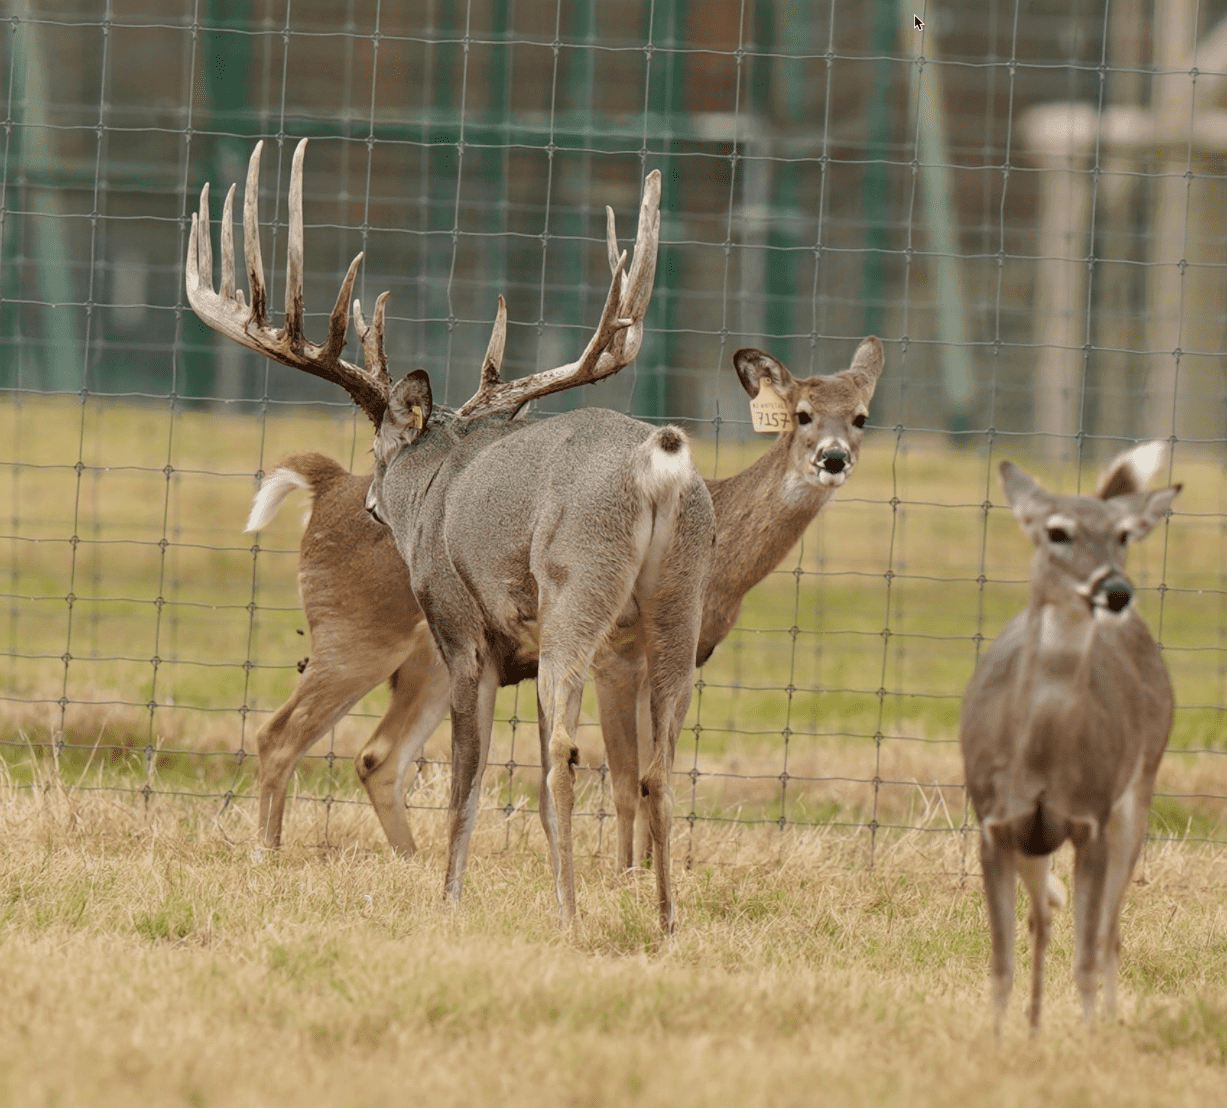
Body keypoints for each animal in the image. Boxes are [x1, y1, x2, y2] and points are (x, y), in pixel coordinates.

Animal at [186, 137, 716, 931]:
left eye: (379, 449)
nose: (373, 504)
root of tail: (660, 464)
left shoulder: (463, 629)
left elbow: (470, 775)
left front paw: (450, 897)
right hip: (681, 598)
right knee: (658, 762)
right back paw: (664, 918)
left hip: (567, 584)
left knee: (555, 751)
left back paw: (568, 916)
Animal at [245, 336, 884, 870]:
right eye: (802, 414)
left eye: (861, 417)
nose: (832, 458)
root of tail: (327, 487)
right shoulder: (612, 658)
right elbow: (625, 777)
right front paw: (624, 873)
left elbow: (653, 770)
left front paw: (643, 870)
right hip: (355, 632)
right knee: (280, 735)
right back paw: (268, 854)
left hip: (426, 661)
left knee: (377, 757)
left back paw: (412, 862)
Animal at [959, 441, 1180, 1034]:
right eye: (1056, 532)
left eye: (1123, 535)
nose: (1116, 591)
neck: (1039, 755)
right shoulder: (995, 822)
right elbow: (1000, 959)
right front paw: (996, 1038)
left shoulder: (1091, 820)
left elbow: (1086, 952)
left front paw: (1088, 1037)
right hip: (1035, 840)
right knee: (1042, 919)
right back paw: (1034, 1026)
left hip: (1138, 790)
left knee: (1108, 934)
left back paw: (1106, 1020)